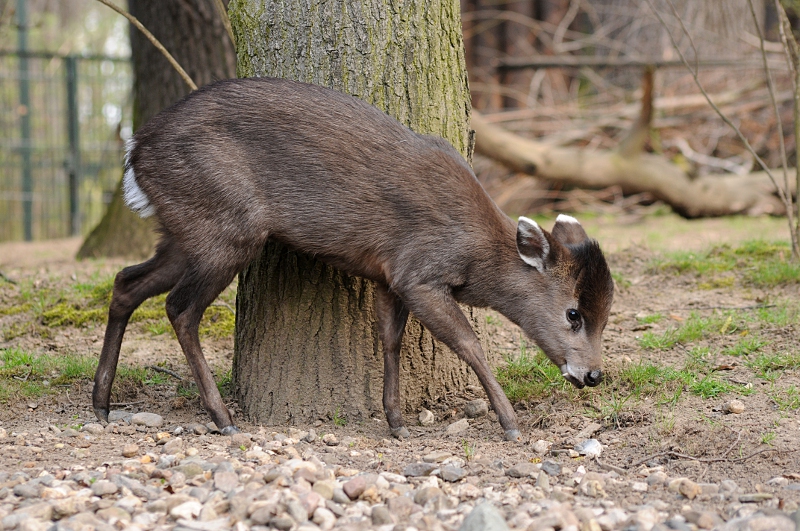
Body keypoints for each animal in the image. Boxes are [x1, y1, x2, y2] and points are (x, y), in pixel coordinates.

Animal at [92, 77, 614, 442]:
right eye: (573, 313)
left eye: (607, 315)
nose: (592, 375)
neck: (476, 255)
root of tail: (134, 152)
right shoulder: (419, 271)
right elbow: (468, 343)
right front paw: (509, 422)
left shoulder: (387, 274)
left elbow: (390, 339)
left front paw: (396, 420)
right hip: (227, 227)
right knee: (180, 308)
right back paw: (222, 418)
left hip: (185, 232)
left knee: (126, 282)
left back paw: (101, 402)